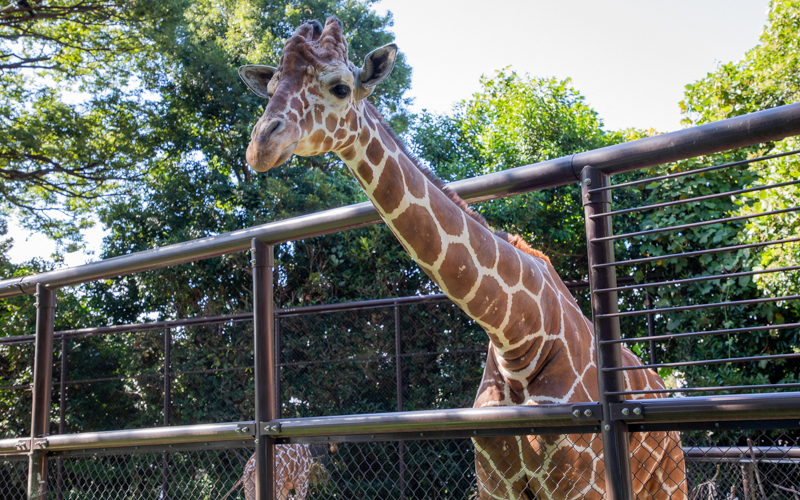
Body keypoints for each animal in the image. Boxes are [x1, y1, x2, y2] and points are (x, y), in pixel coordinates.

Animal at [238, 17, 688, 498]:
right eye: (271, 90)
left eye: (340, 87)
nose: (261, 145)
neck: (520, 335)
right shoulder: (494, 481)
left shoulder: (584, 483)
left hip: (670, 479)